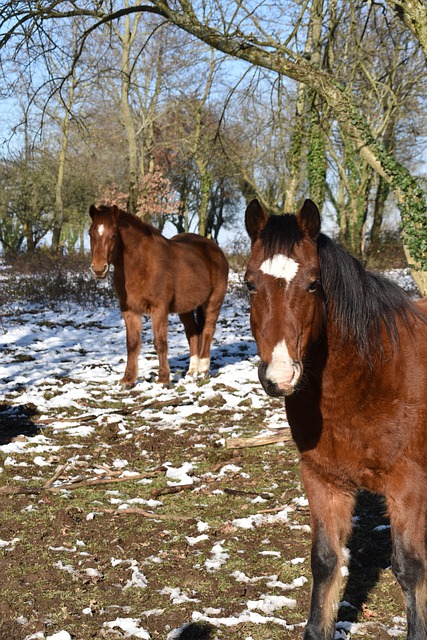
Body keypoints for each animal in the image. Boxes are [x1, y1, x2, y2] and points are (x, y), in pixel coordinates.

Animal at [89, 205, 229, 384]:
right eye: (90, 234)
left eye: (113, 234)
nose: (99, 269)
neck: (140, 264)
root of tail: (215, 249)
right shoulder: (129, 310)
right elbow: (132, 343)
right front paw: (128, 380)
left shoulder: (159, 309)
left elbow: (160, 343)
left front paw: (163, 379)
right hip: (186, 308)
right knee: (193, 333)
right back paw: (192, 372)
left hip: (213, 302)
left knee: (208, 331)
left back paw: (203, 370)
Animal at [244, 199, 427, 640]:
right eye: (249, 284)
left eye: (313, 284)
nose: (279, 376)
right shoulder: (323, 479)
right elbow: (325, 561)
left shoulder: (408, 485)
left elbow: (409, 568)